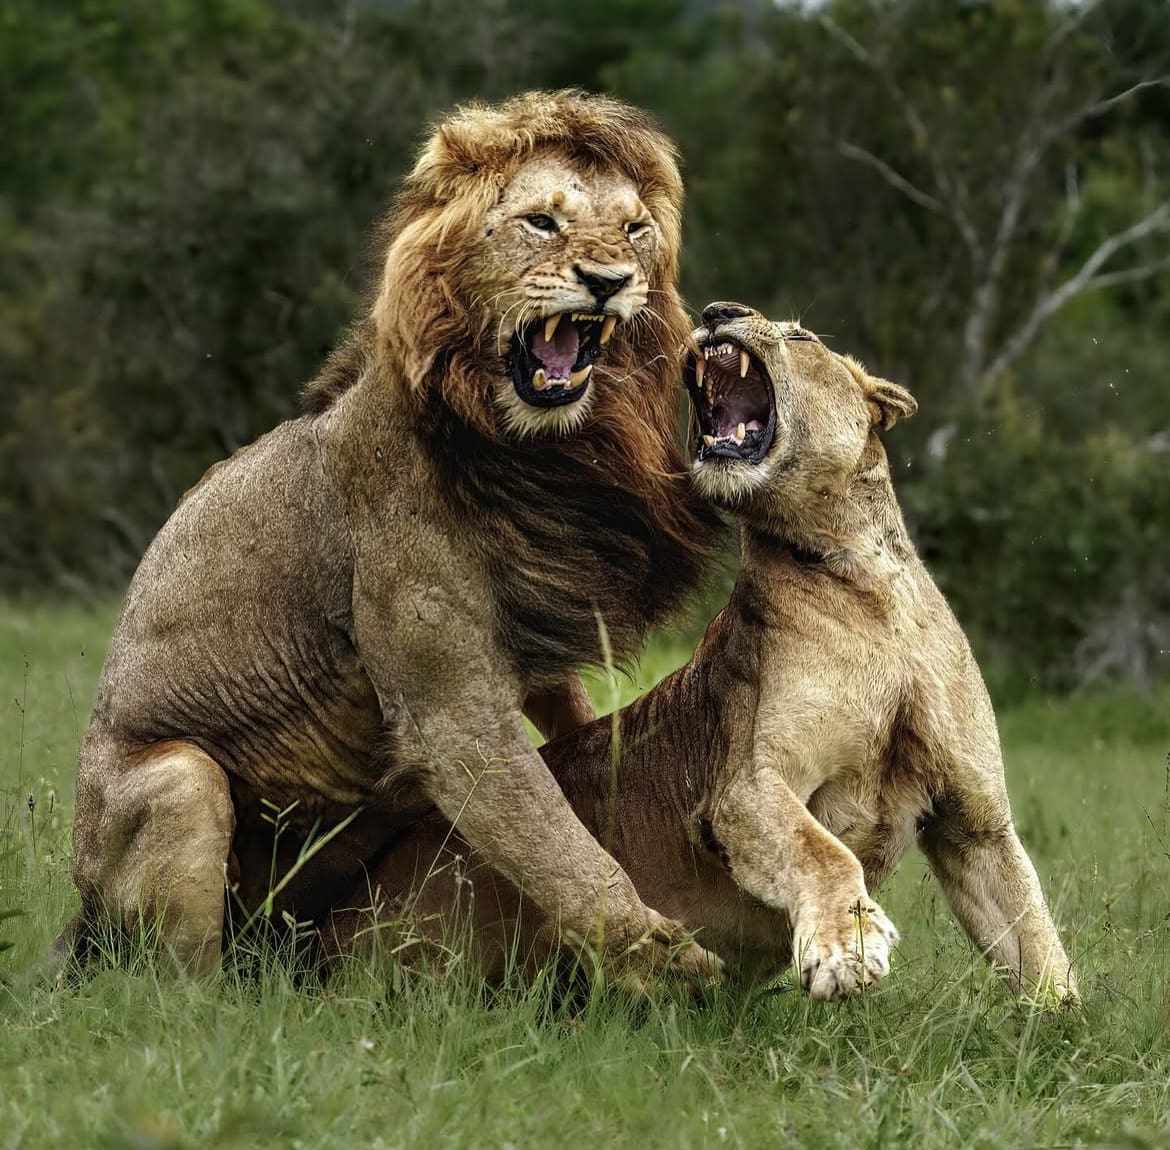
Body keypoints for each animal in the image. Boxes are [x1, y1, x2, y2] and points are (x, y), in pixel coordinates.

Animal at [66, 94, 720, 982]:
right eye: (542, 222)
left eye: (634, 230)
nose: (611, 282)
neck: (529, 446)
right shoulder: (448, 710)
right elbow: (555, 841)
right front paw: (662, 962)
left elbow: (573, 732)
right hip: (176, 784)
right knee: (176, 980)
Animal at [329, 301, 1076, 1001]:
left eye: (802, 337)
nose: (718, 312)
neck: (865, 584)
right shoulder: (745, 785)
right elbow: (825, 854)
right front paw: (849, 947)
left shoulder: (976, 821)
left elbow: (1033, 934)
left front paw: (1062, 1024)